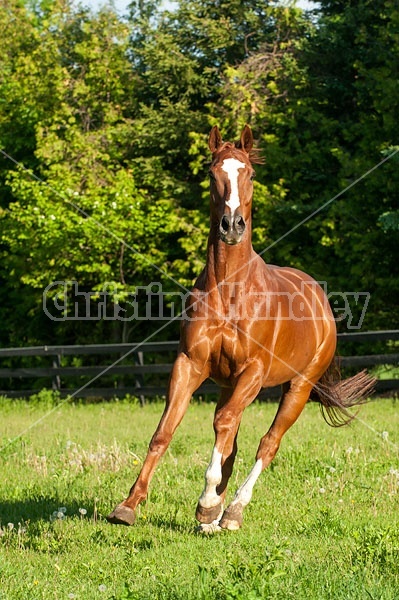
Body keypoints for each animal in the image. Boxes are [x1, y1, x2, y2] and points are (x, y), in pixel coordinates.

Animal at [107, 125, 376, 528]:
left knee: (267, 442)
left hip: (297, 387)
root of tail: (321, 300)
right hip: (230, 384)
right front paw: (129, 505)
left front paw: (207, 503)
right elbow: (166, 431)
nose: (232, 225)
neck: (229, 291)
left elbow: (225, 426)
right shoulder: (190, 364)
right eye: (212, 172)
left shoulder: (253, 371)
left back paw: (231, 511)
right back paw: (214, 516)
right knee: (231, 437)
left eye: (250, 173)